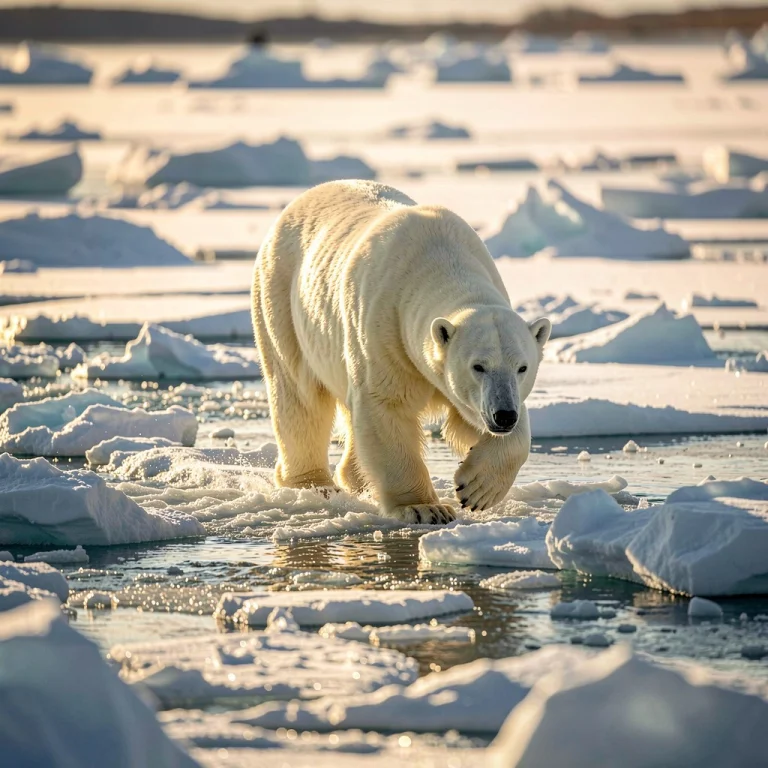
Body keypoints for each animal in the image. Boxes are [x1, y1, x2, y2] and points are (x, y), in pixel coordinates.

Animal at [252, 180, 551, 524]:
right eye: (478, 366)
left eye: (522, 367)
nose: (503, 415)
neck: (440, 259)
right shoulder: (386, 326)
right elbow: (386, 405)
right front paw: (425, 508)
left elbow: (486, 422)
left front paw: (478, 489)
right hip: (281, 301)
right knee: (299, 395)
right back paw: (312, 484)